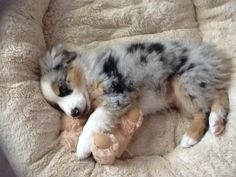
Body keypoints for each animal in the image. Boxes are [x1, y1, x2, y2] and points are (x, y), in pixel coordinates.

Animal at [40, 41, 230, 159]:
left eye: (63, 89)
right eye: (56, 106)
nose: (74, 113)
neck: (88, 74)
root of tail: (210, 54)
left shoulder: (117, 93)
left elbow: (94, 119)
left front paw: (82, 147)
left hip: (185, 80)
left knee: (203, 110)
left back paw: (191, 136)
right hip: (189, 91)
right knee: (219, 93)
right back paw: (217, 122)